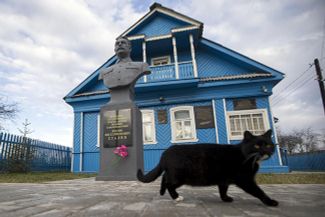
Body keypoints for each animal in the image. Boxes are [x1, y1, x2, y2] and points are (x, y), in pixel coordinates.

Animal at [137, 130, 278, 206]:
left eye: (268, 145)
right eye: (257, 146)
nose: (266, 151)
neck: (246, 156)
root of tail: (165, 152)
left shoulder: (224, 179)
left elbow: (223, 190)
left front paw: (225, 199)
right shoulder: (245, 180)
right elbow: (259, 191)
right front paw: (270, 202)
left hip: (174, 174)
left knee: (165, 178)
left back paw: (162, 192)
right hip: (180, 176)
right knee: (168, 183)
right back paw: (176, 197)